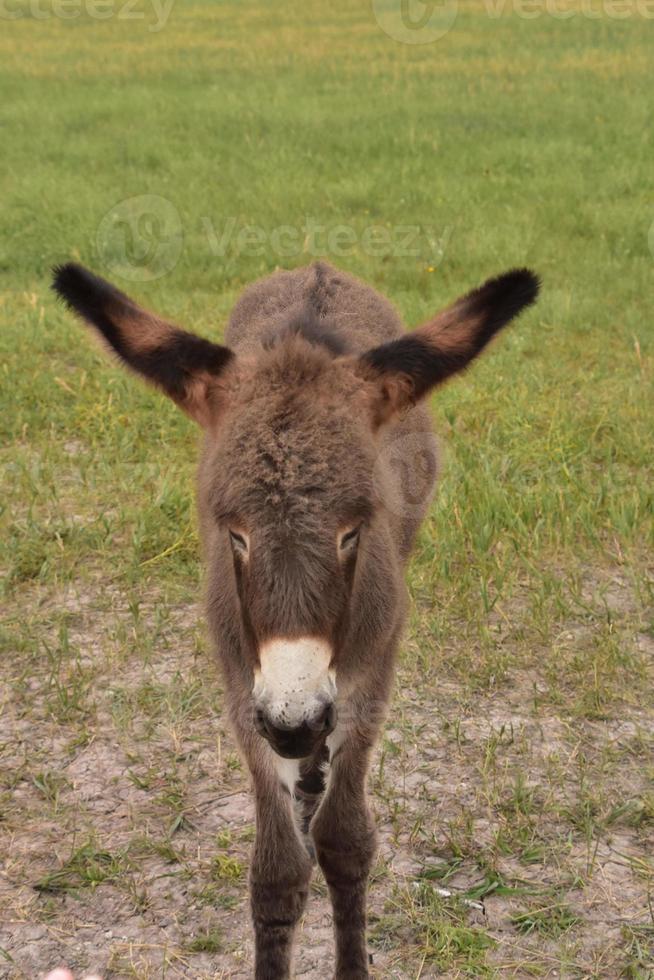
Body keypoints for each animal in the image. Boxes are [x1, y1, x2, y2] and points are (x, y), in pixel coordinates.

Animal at [53, 260, 540, 980]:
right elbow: (277, 869)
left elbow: (345, 840)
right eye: (235, 533)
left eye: (352, 531)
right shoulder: (240, 679)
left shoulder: (372, 667)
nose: (293, 722)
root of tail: (319, 269)